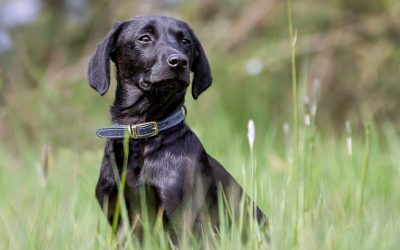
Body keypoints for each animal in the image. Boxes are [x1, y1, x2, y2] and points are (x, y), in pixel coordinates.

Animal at [89, 16, 268, 240]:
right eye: (144, 38)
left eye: (186, 42)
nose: (179, 62)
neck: (142, 136)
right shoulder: (119, 220)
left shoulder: (183, 216)